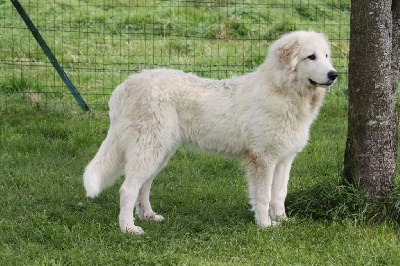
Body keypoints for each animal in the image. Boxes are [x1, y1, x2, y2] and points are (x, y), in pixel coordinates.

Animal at [83, 31, 338, 235]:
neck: (284, 92)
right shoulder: (263, 159)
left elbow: (279, 193)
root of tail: (123, 86)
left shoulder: (284, 159)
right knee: (127, 189)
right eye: (311, 57)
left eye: (326, 56)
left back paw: (149, 216)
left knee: (143, 186)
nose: (334, 74)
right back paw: (128, 228)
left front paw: (282, 220)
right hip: (149, 148)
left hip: (159, 152)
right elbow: (263, 196)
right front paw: (265, 225)